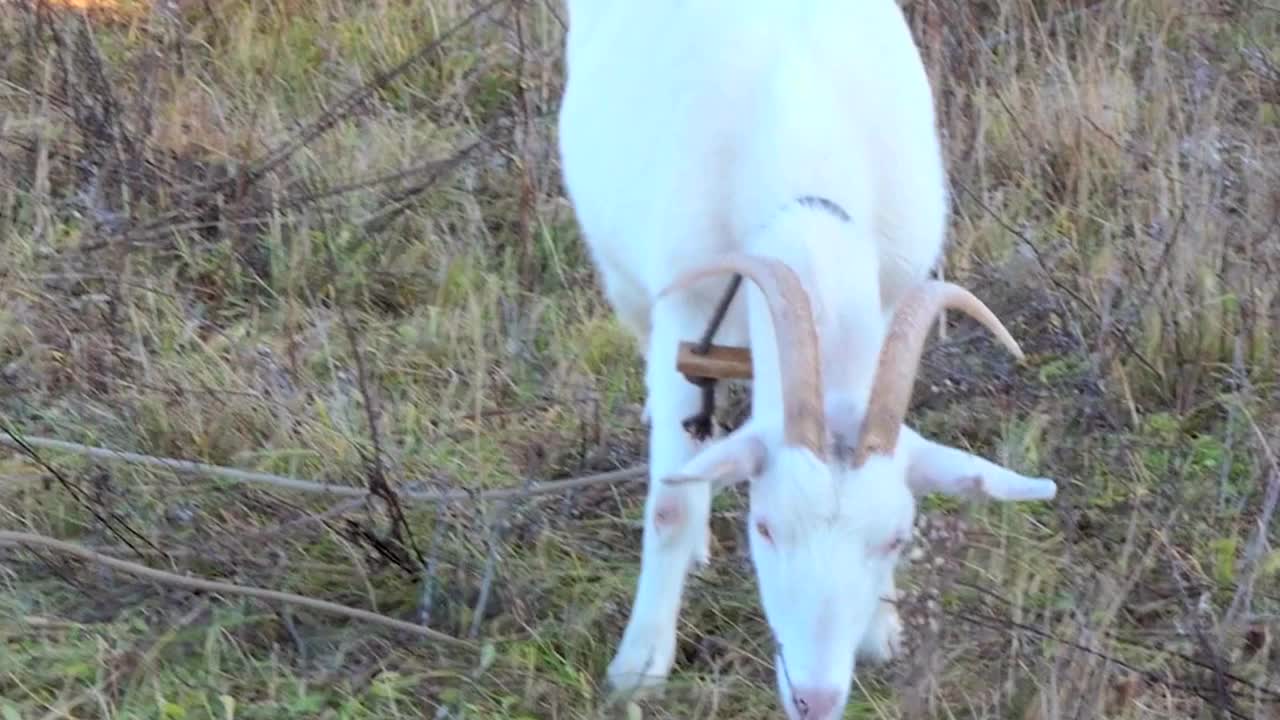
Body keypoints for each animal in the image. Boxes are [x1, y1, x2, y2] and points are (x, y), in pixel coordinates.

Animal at [560, 2, 1059, 712]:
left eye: (896, 538)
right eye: (765, 527)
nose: (815, 699)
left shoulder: (890, 295)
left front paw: (881, 628)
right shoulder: (684, 308)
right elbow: (670, 505)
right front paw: (639, 665)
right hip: (628, 279)